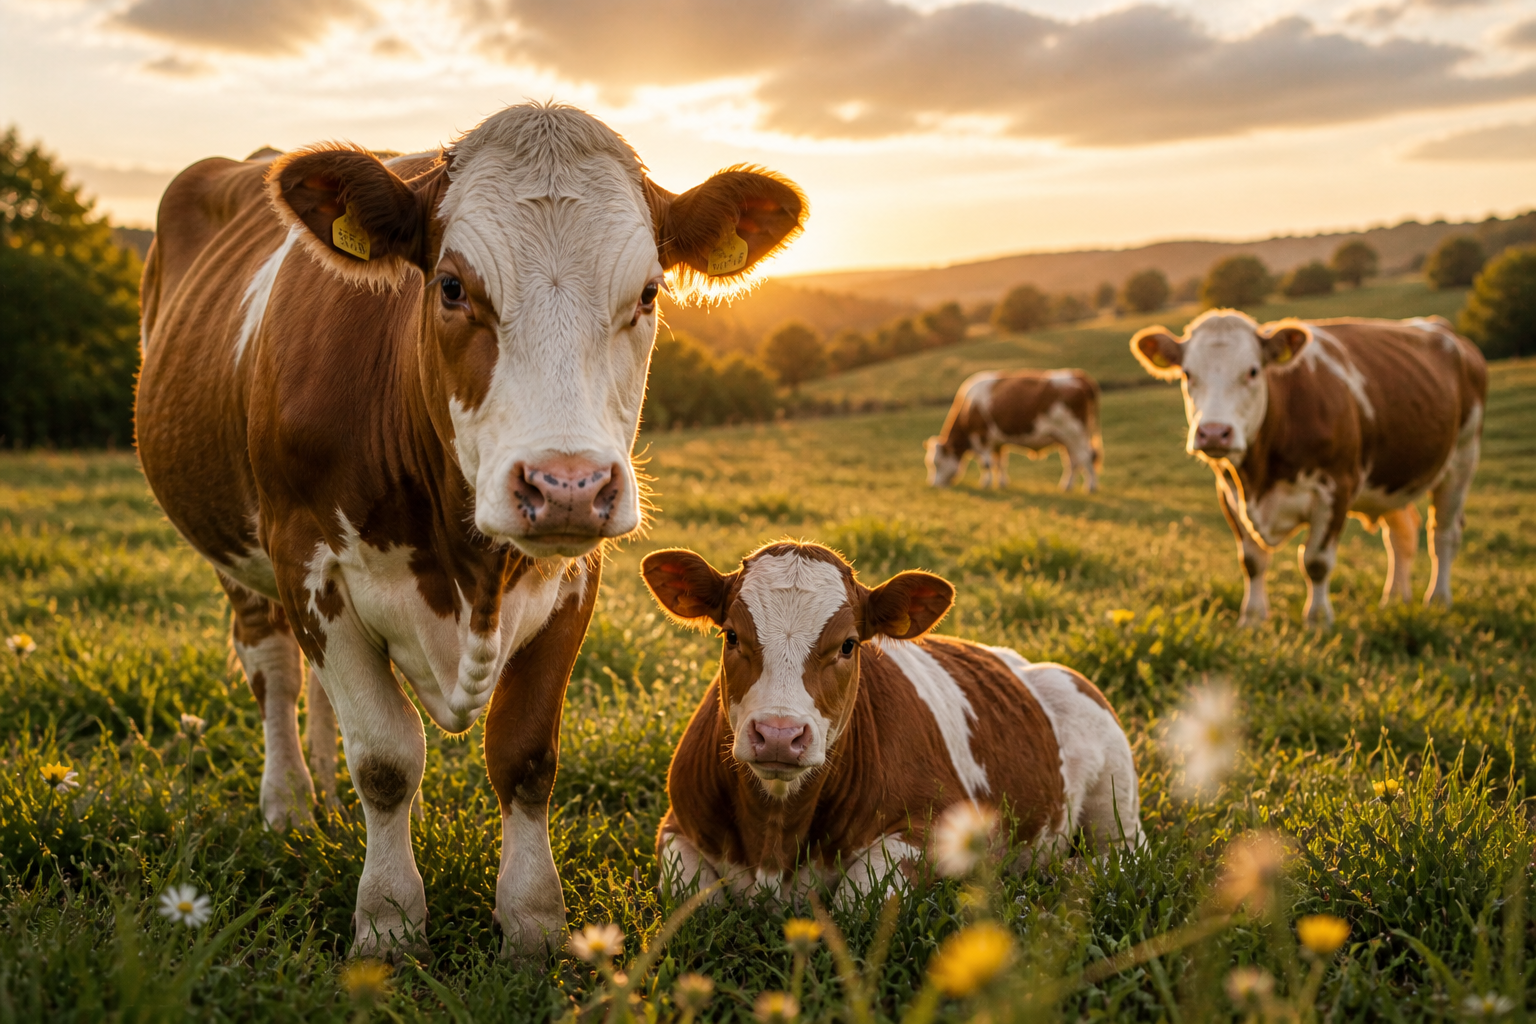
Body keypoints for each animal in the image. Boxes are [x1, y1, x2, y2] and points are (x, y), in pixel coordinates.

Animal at [134, 103, 807, 958]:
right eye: (452, 286)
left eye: (649, 292)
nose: (566, 487)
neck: (470, 573)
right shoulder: (308, 559)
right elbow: (385, 758)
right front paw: (389, 921)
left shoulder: (574, 580)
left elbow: (523, 755)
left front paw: (532, 923)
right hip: (240, 555)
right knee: (276, 671)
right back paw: (289, 803)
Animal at [640, 542, 1141, 902]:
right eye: (731, 635)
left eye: (848, 644)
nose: (779, 736)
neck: (774, 839)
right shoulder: (676, 825)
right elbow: (695, 899)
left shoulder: (937, 830)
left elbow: (857, 900)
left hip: (1116, 794)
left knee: (1124, 855)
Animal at [925, 370, 1102, 492]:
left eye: (937, 463)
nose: (933, 484)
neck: (967, 407)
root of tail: (1079, 375)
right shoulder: (997, 442)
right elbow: (999, 463)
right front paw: (1002, 484)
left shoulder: (982, 436)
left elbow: (986, 464)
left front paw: (985, 484)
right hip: (1067, 439)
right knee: (1073, 461)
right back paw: (1067, 486)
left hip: (1075, 434)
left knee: (1087, 457)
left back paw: (1090, 487)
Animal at [1130, 310, 1486, 627]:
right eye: (1188, 374)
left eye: (1253, 371)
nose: (1214, 432)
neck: (1260, 477)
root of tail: (1446, 331)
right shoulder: (1229, 493)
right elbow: (1252, 561)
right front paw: (1252, 619)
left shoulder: (1336, 488)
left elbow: (1315, 562)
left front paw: (1317, 621)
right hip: (1392, 477)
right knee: (1403, 534)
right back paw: (1395, 600)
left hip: (1462, 457)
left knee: (1443, 534)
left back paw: (1438, 600)